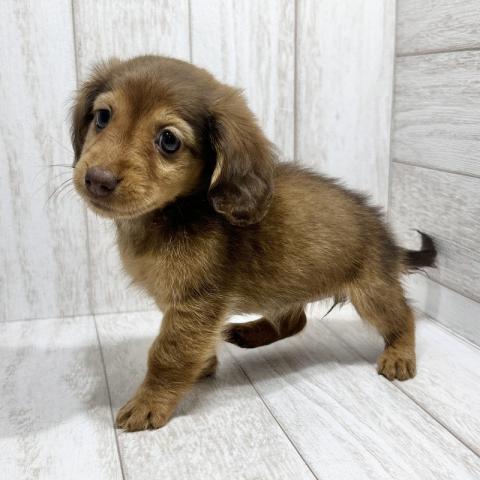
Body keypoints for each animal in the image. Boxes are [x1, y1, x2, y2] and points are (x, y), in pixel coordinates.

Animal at [72, 55, 436, 432]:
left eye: (168, 140)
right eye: (102, 117)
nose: (97, 179)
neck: (174, 214)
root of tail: (385, 234)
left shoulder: (195, 303)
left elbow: (168, 354)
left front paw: (149, 402)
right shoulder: (187, 306)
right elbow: (192, 346)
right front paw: (202, 367)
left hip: (372, 293)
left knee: (403, 317)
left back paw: (399, 354)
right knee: (295, 320)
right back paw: (250, 334)